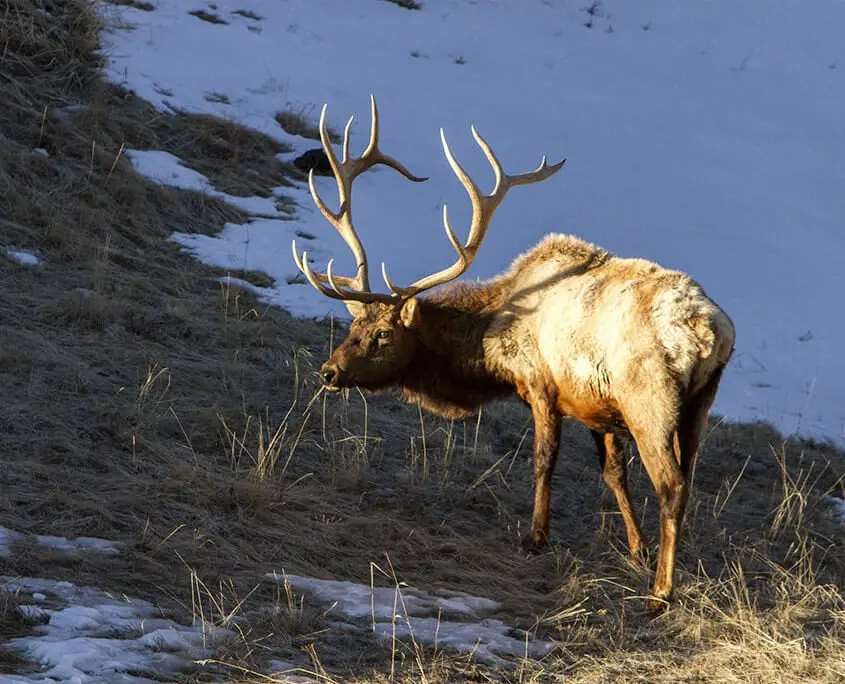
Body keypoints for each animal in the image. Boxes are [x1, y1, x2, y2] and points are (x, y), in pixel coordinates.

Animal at [291, 95, 736, 604]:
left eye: (383, 334)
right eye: (353, 324)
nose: (329, 371)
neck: (490, 348)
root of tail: (710, 332)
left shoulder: (542, 384)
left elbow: (544, 460)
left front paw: (536, 537)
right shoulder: (597, 405)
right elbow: (613, 472)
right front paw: (636, 548)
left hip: (650, 400)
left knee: (671, 485)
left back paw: (662, 591)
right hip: (699, 403)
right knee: (687, 480)